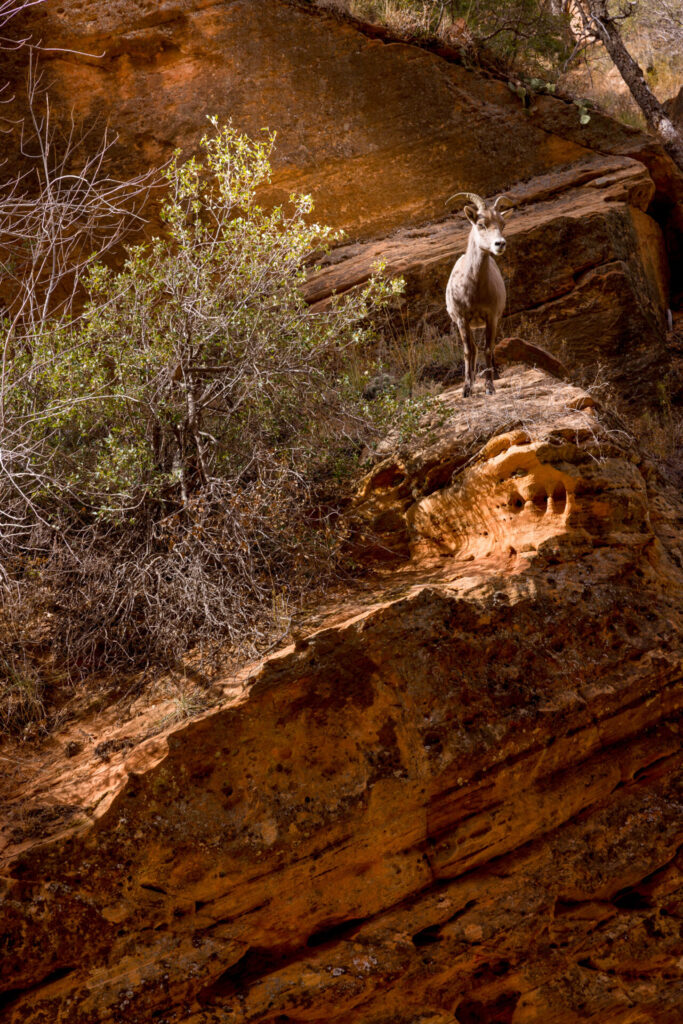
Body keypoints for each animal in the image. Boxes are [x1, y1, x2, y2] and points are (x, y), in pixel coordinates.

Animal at [448, 190, 511, 397]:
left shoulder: (491, 317)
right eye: (481, 224)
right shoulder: (462, 319)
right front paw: (466, 389)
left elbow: (488, 349)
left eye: (502, 224)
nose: (500, 244)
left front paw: (490, 387)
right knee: (473, 349)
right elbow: (469, 351)